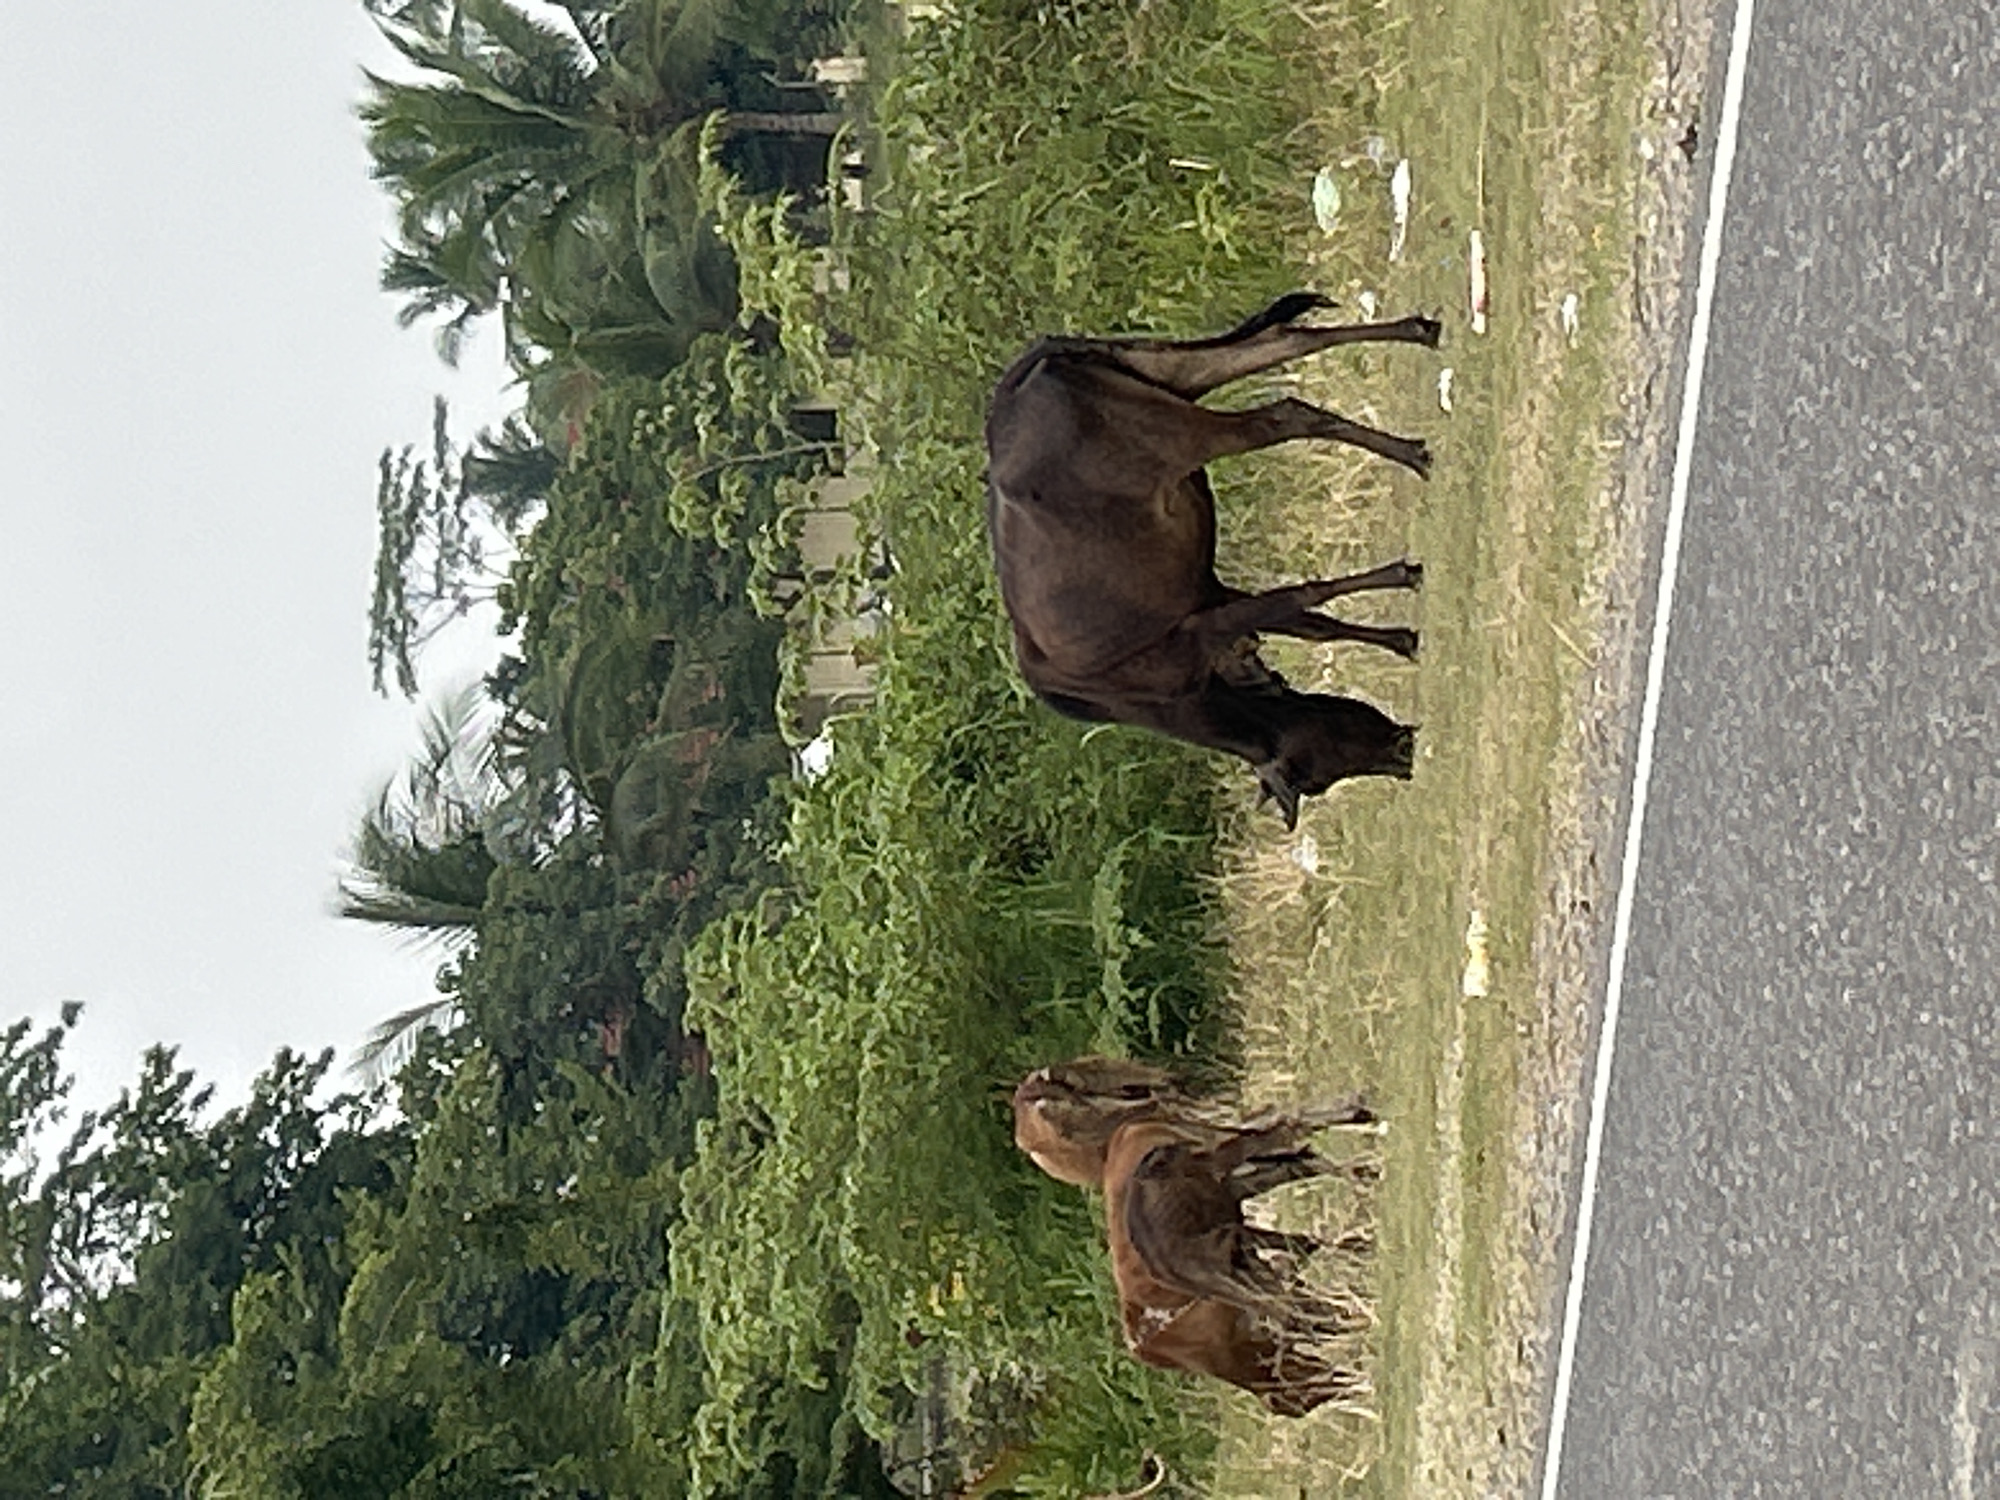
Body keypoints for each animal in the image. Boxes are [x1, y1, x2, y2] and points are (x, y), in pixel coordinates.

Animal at [985, 293, 1441, 827]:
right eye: (1322, 775)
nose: (1404, 757)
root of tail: (1020, 378)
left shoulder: (1201, 626)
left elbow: (1301, 599)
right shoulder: (1208, 599)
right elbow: (1312, 624)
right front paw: (1403, 635)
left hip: (1177, 431)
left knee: (1286, 415)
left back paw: (1413, 453)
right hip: (1172, 373)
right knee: (1285, 341)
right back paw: (1419, 333)